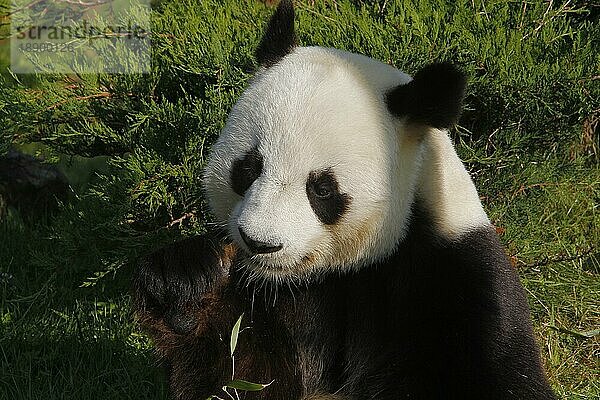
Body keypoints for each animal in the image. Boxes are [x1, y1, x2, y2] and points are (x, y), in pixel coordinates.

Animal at [131, 1, 556, 398]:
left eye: (322, 189)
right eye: (248, 167)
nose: (260, 243)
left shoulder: (454, 277)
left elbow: (496, 371)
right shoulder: (270, 299)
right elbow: (240, 375)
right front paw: (185, 282)